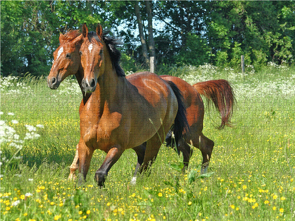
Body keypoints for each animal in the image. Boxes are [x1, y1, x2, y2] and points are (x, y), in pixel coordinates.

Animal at [65, 23, 188, 186]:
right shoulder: (86, 146)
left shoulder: (117, 147)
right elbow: (81, 178)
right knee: (143, 157)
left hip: (157, 138)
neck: (101, 109)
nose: (88, 83)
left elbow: (100, 174)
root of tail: (165, 83)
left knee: (148, 163)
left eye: (101, 51)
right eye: (80, 52)